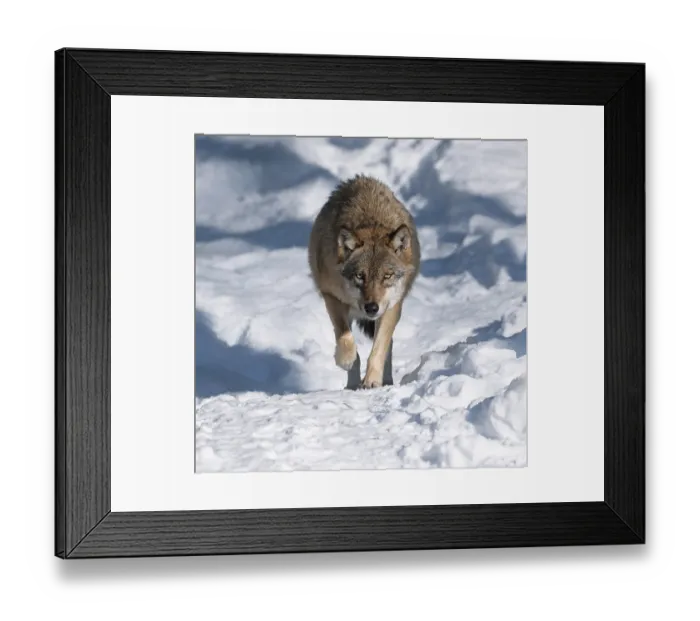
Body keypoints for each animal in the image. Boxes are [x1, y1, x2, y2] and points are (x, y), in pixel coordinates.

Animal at [308, 174, 421, 389]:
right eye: (360, 276)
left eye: (387, 276)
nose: (371, 307)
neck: (371, 225)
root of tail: (360, 179)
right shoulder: (332, 296)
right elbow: (345, 337)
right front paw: (345, 360)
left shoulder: (392, 307)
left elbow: (378, 350)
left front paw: (372, 381)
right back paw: (352, 384)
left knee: (389, 346)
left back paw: (386, 381)